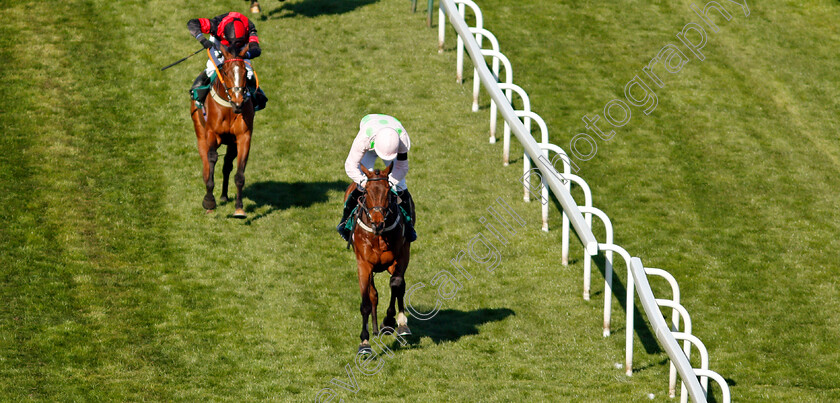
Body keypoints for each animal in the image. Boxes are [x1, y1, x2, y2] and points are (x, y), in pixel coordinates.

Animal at [344, 163, 414, 354]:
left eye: (388, 190)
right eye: (367, 191)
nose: (378, 222)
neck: (379, 236)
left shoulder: (400, 256)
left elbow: (397, 284)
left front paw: (390, 321)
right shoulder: (364, 264)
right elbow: (367, 301)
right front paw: (364, 342)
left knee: (399, 286)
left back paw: (400, 324)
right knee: (373, 294)